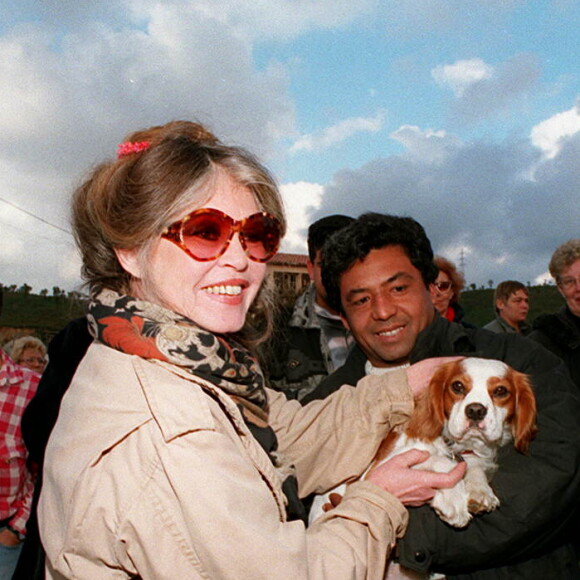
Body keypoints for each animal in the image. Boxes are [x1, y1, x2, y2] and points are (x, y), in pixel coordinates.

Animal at [310, 356, 536, 528]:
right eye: (457, 386)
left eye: (500, 391)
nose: (475, 410)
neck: (451, 444)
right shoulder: (376, 470)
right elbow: (440, 461)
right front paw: (454, 501)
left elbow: (473, 466)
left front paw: (480, 490)